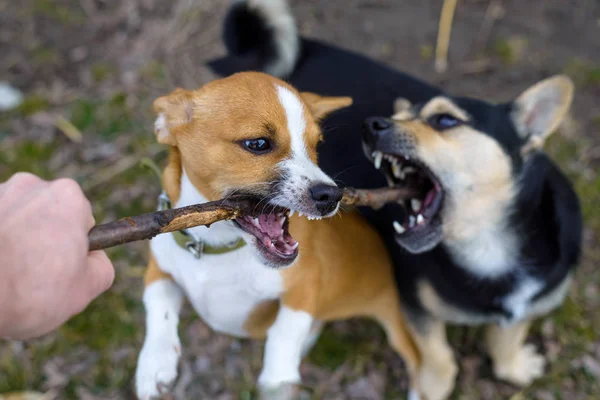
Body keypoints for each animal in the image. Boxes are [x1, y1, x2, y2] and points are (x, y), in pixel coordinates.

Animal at [134, 72, 420, 400]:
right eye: (258, 143)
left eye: (316, 145)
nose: (331, 195)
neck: (217, 248)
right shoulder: (158, 271)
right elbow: (158, 309)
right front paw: (155, 364)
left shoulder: (306, 283)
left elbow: (286, 328)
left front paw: (278, 376)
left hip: (393, 319)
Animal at [210, 1, 580, 398]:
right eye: (395, 115)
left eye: (445, 120)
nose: (371, 124)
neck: (488, 248)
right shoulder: (412, 302)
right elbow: (438, 358)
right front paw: (432, 386)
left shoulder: (532, 302)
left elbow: (508, 335)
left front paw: (513, 365)